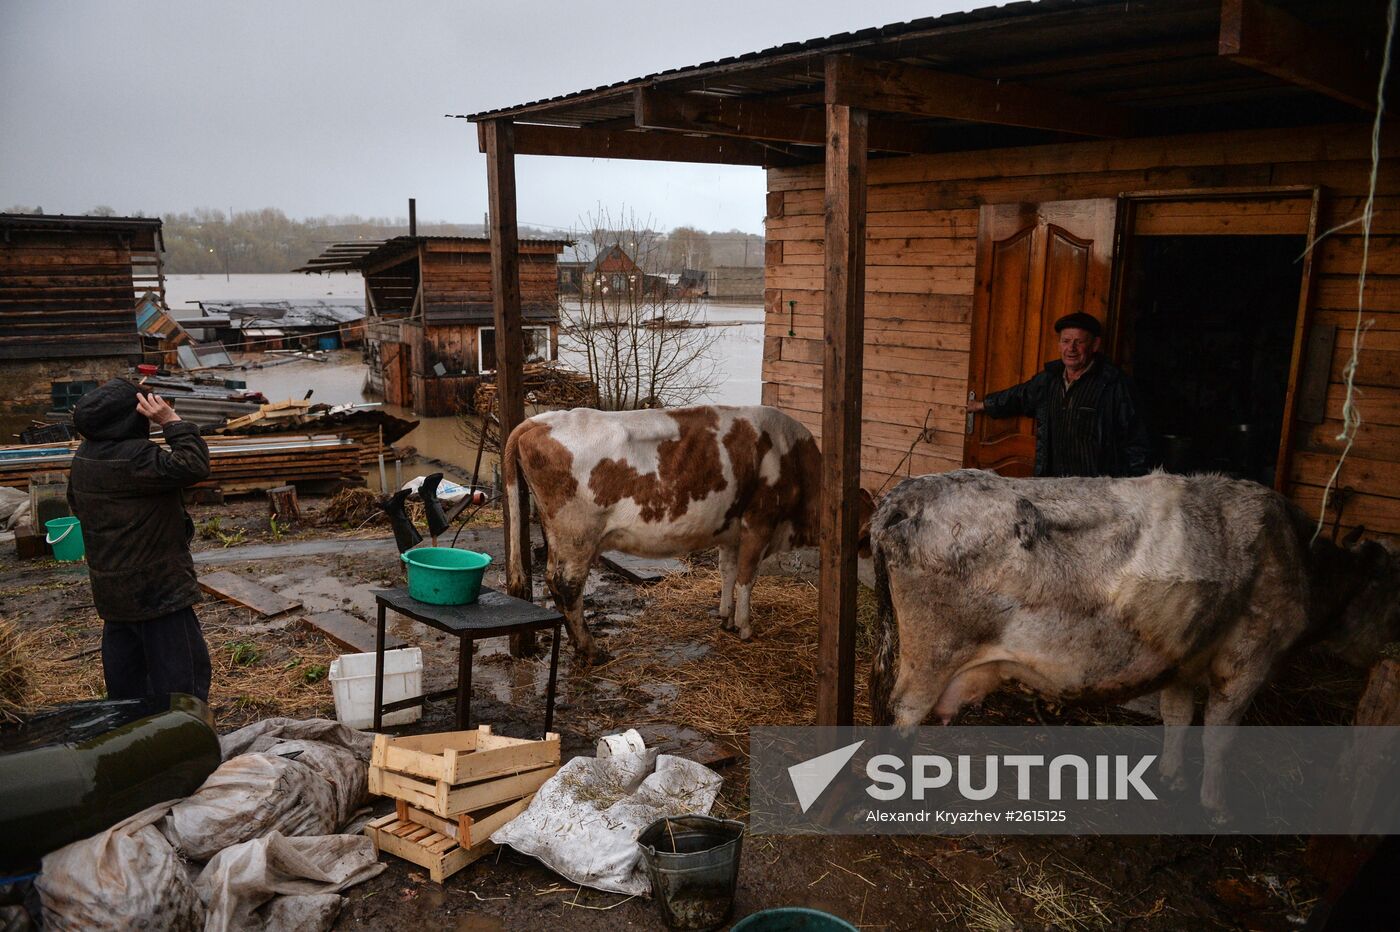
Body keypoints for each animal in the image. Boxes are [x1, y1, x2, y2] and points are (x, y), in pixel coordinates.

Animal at [504, 405, 873, 660]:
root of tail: (539, 420)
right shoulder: (759, 522)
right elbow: (747, 578)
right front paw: (745, 627)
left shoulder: (731, 530)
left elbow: (727, 572)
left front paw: (725, 617)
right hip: (577, 535)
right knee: (567, 586)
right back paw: (590, 649)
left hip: (559, 536)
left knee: (553, 581)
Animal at [868, 467, 1394, 811]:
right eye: (1394, 592)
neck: (1302, 559)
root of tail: (909, 491)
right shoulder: (1248, 659)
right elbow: (1220, 736)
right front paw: (1215, 805)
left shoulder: (1183, 658)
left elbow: (1178, 717)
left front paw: (1172, 776)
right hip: (932, 655)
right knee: (905, 712)